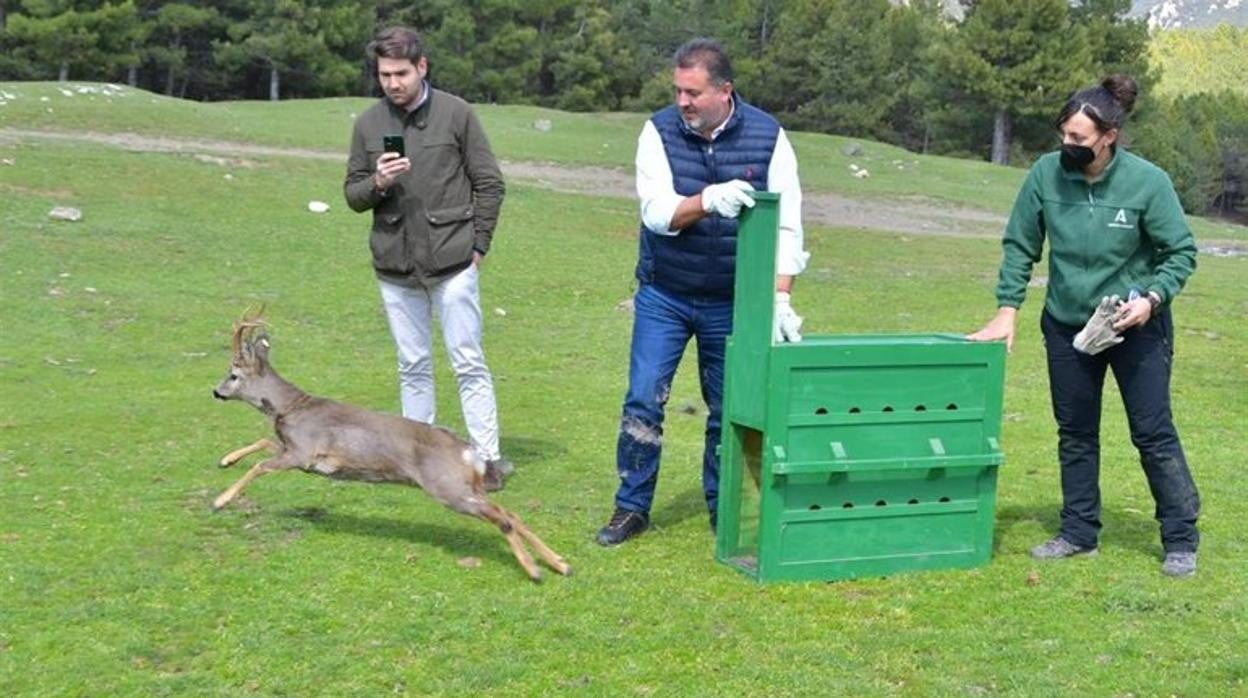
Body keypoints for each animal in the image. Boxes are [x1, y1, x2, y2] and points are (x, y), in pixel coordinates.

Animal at [209, 315, 571, 579]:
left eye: (233, 374)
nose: (216, 392)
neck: (292, 407)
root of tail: (470, 453)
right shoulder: (297, 452)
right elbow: (265, 441)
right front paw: (226, 460)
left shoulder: (304, 452)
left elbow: (261, 465)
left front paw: (220, 500)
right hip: (467, 486)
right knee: (511, 513)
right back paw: (560, 563)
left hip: (448, 488)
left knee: (503, 518)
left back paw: (535, 570)